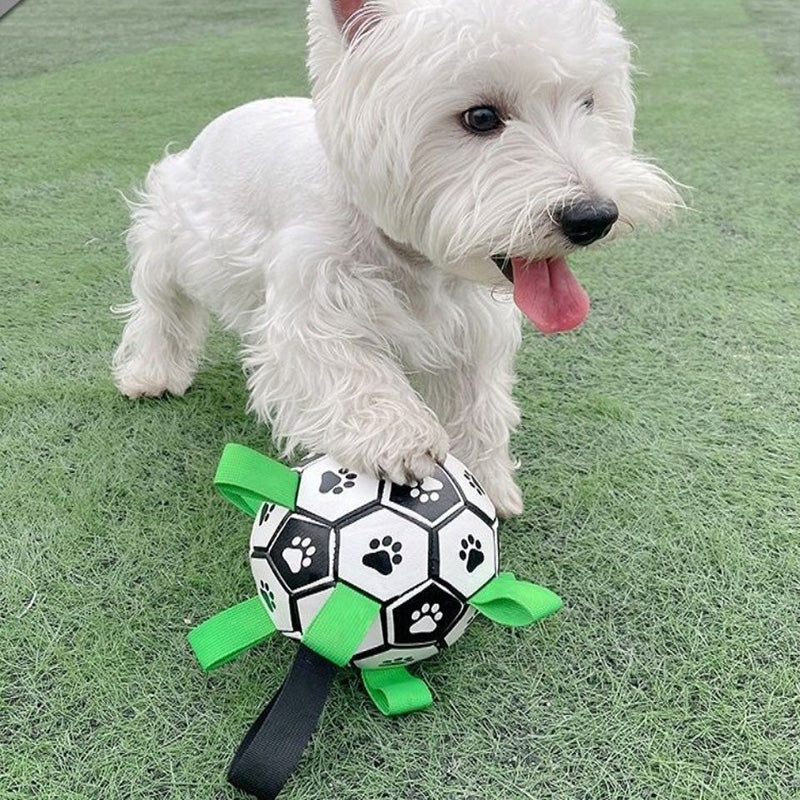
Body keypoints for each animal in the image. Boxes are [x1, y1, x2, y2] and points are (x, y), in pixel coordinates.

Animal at [112, 0, 680, 520]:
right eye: (480, 117)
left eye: (588, 103)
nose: (593, 217)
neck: (413, 258)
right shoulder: (313, 299)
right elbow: (348, 365)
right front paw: (400, 437)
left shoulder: (469, 327)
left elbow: (477, 403)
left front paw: (488, 481)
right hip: (168, 235)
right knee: (160, 306)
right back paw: (151, 374)